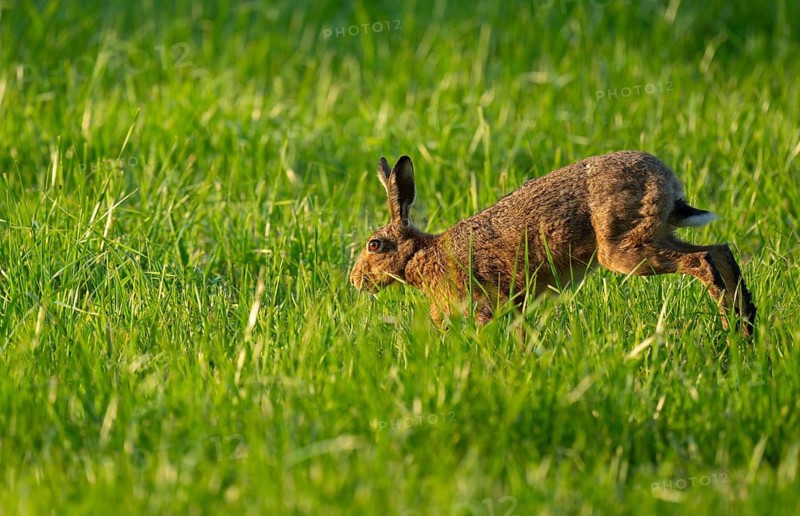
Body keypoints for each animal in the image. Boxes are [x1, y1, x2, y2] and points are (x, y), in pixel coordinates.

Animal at [350, 152, 756, 337]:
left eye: (375, 245)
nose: (355, 281)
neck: (419, 254)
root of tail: (666, 180)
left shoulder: (483, 301)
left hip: (624, 251)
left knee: (702, 261)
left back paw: (734, 331)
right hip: (657, 235)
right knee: (720, 251)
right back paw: (746, 330)